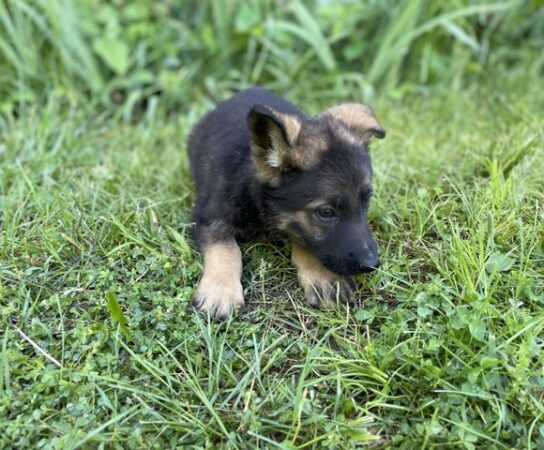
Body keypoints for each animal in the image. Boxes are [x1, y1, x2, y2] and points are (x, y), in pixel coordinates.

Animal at [189, 88, 384, 318]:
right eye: (326, 213)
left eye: (366, 200)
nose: (372, 265)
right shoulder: (208, 216)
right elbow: (226, 248)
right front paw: (220, 289)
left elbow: (305, 240)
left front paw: (321, 275)